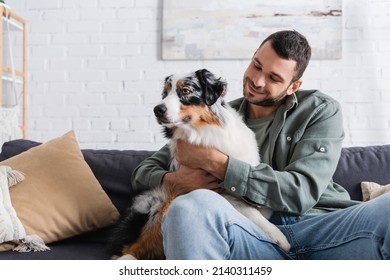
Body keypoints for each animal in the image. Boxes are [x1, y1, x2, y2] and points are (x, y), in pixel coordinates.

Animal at [109, 69, 290, 260]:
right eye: (165, 93)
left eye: (185, 91)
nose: (157, 110)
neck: (202, 133)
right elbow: (251, 212)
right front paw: (279, 237)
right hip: (162, 200)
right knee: (131, 248)